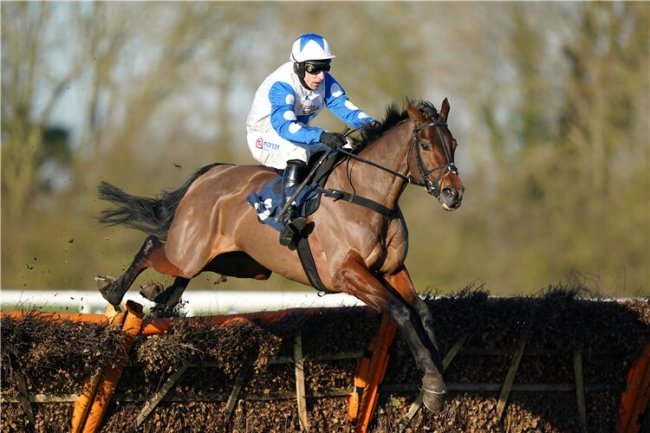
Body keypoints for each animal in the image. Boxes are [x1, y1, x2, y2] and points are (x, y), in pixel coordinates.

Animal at [96, 98, 464, 412]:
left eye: (454, 143)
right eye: (426, 145)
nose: (453, 193)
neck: (366, 197)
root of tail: (210, 174)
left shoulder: (392, 270)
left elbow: (422, 312)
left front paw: (436, 383)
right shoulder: (347, 274)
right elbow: (401, 312)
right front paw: (432, 381)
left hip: (240, 261)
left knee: (182, 273)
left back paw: (161, 300)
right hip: (188, 251)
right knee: (151, 247)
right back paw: (114, 290)